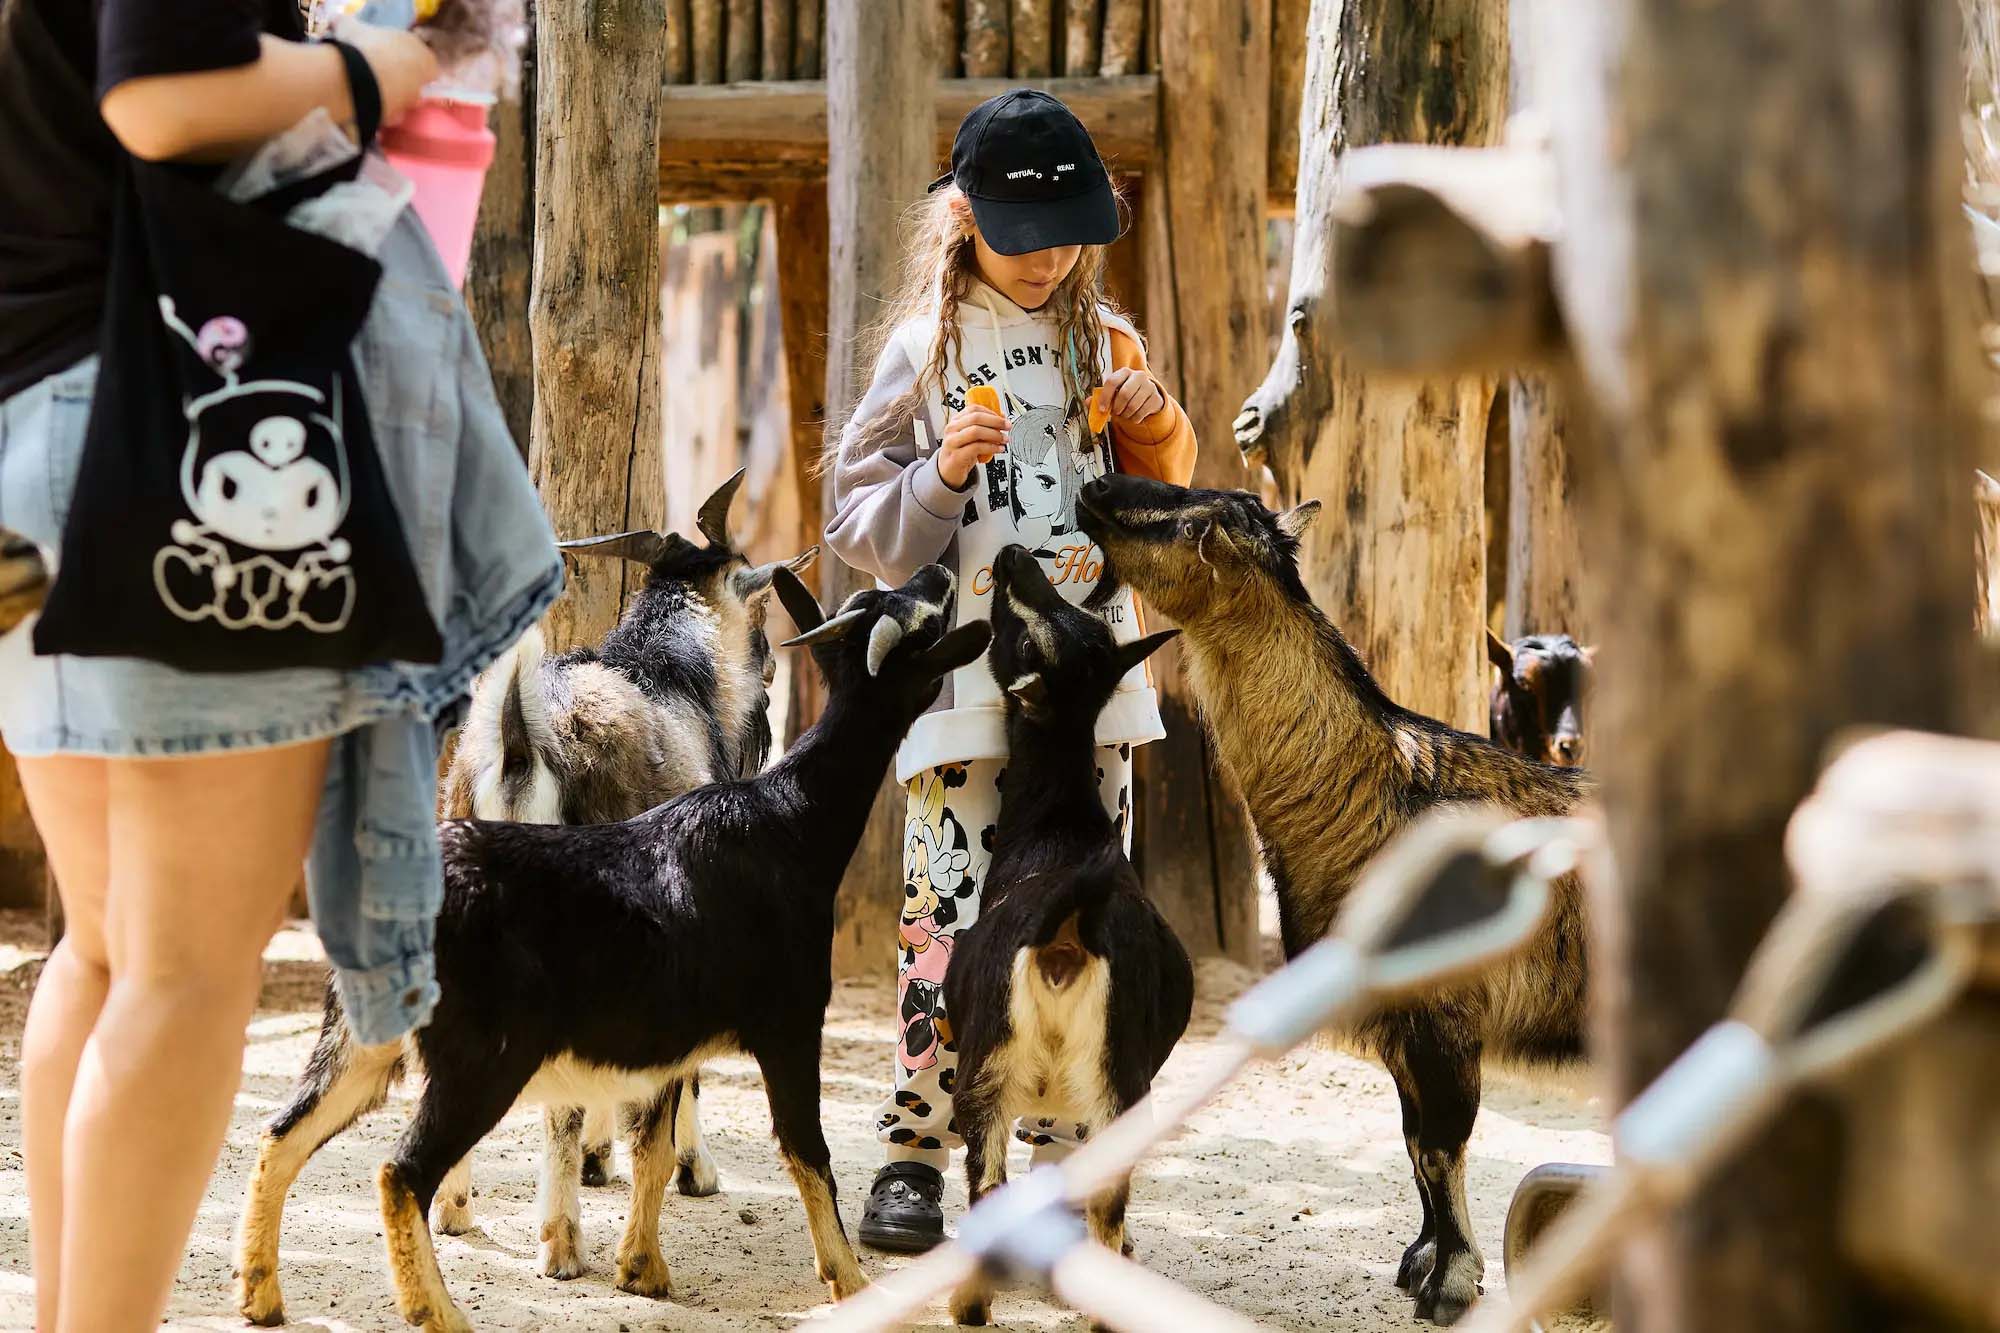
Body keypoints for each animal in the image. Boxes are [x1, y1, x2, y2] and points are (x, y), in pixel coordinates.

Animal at [237, 564, 991, 1332]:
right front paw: (848, 1278)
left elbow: (653, 1146)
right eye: (920, 618)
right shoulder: (789, 1023)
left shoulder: (671, 1040)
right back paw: (440, 1310)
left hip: (360, 1040)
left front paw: (642, 1268)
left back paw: (262, 1293)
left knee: (281, 1134)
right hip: (485, 1055)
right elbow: (808, 1149)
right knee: (401, 1171)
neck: (790, 821)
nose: (939, 570)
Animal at [437, 468, 815, 1197]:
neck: (669, 677)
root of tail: (520, 738)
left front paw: (600, 1153)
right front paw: (693, 1168)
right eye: (758, 611)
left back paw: (456, 1206)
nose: (768, 677)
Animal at [943, 544, 1191, 1327]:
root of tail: (1068, 921)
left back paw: (973, 1304)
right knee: (1099, 1197)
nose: (1014, 555)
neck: (1058, 823)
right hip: (1113, 1089)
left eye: (1017, 639)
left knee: (991, 1185)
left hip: (995, 1071)